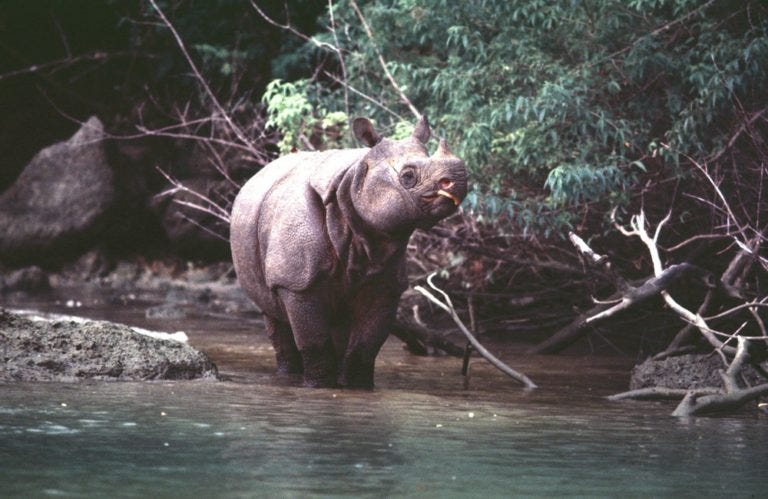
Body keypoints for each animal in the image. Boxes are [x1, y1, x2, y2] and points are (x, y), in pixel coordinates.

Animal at [230, 116, 467, 388]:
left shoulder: (386, 284)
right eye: (407, 176)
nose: (459, 180)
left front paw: (357, 387)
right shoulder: (296, 281)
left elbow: (366, 345)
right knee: (273, 314)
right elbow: (313, 341)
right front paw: (319, 386)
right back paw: (288, 375)